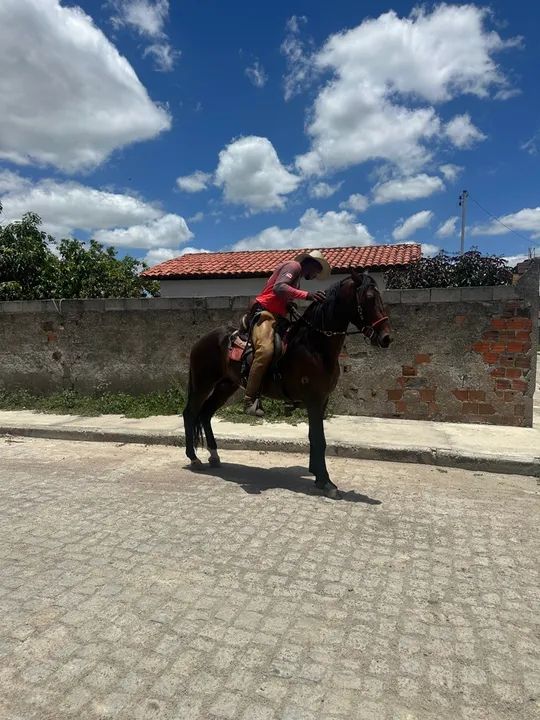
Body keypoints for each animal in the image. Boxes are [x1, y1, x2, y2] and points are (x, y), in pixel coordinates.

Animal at [183, 269, 392, 498]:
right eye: (369, 297)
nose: (386, 338)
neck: (314, 344)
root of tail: (202, 340)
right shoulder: (314, 400)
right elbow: (319, 438)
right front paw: (327, 482)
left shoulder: (322, 401)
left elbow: (314, 437)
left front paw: (317, 476)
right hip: (203, 384)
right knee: (190, 413)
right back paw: (194, 458)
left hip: (225, 386)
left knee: (205, 414)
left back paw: (214, 455)